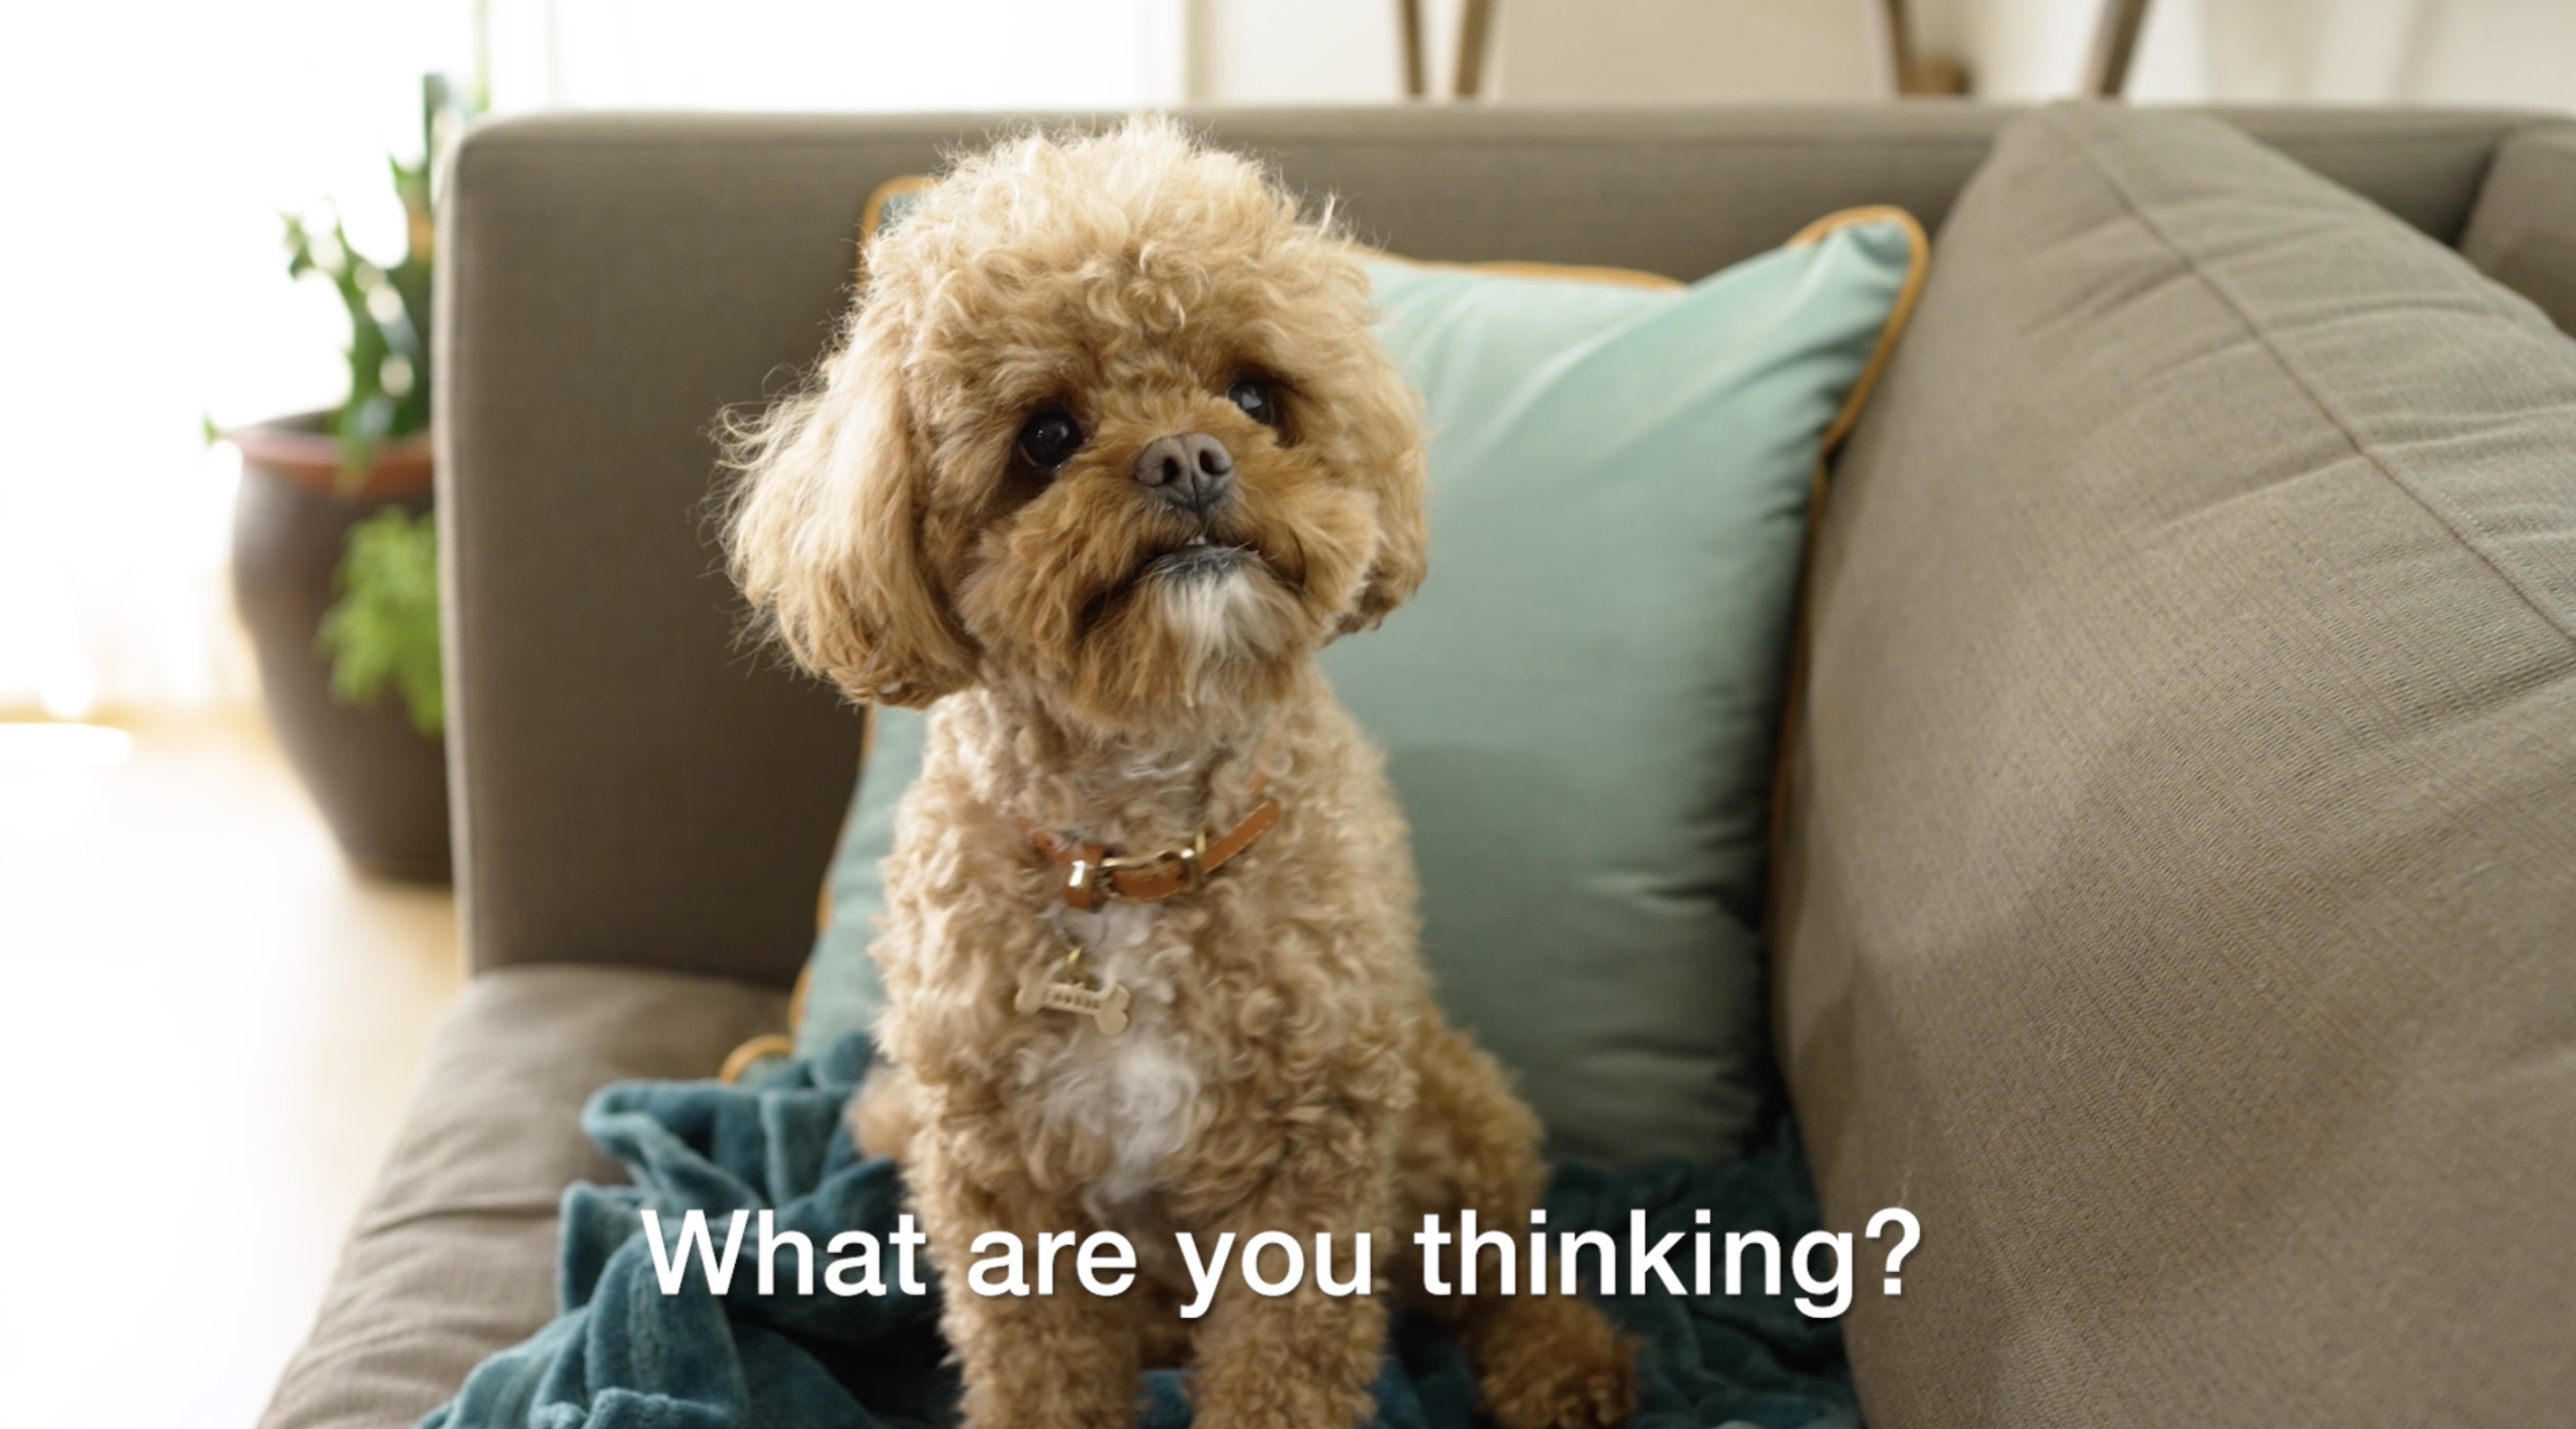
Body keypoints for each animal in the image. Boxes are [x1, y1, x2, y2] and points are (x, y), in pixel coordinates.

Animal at [721, 115, 1627, 1429]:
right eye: (1047, 433)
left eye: (1253, 391)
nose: (1190, 455)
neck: (1142, 840)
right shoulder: (1005, 1180)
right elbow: (1041, 1375)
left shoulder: (1312, 1160)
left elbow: (1282, 1374)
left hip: (1448, 1110)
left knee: (1507, 1264)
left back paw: (1569, 1366)